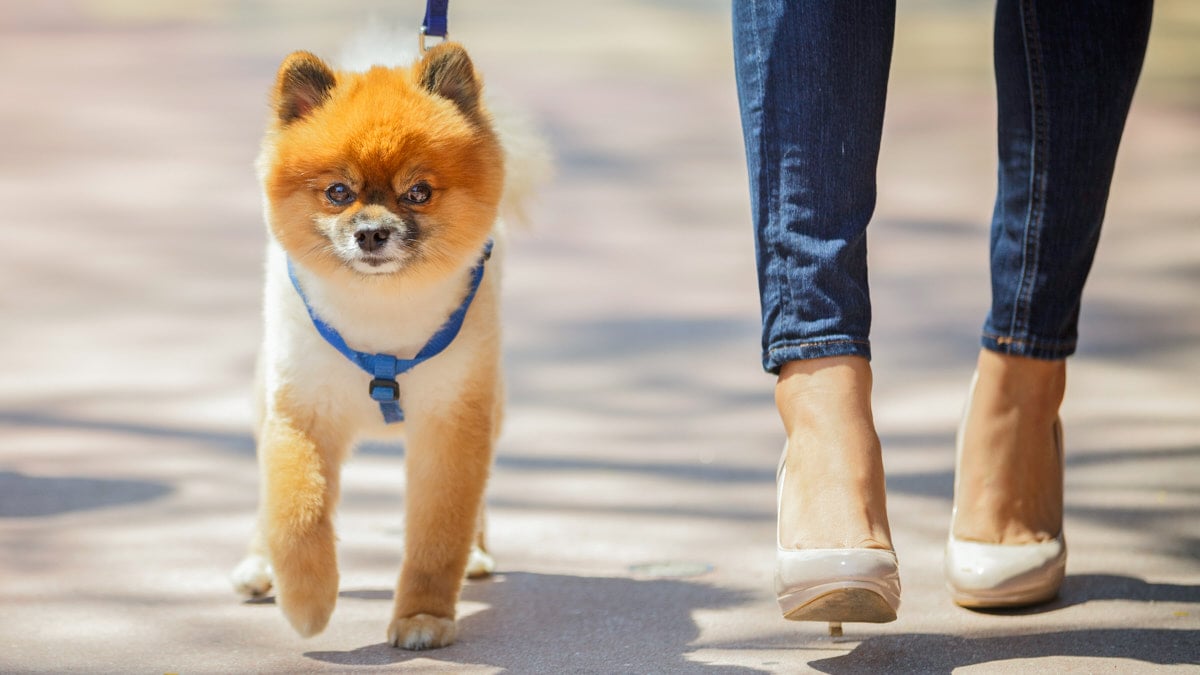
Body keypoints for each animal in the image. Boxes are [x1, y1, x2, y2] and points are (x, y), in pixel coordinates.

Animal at [230, 35, 549, 648]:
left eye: (418, 192)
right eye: (338, 191)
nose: (372, 232)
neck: (381, 314)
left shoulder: (453, 423)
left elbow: (438, 533)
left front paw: (424, 616)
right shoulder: (301, 411)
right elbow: (295, 512)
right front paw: (307, 601)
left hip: (492, 403)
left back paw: (477, 554)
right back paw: (258, 565)